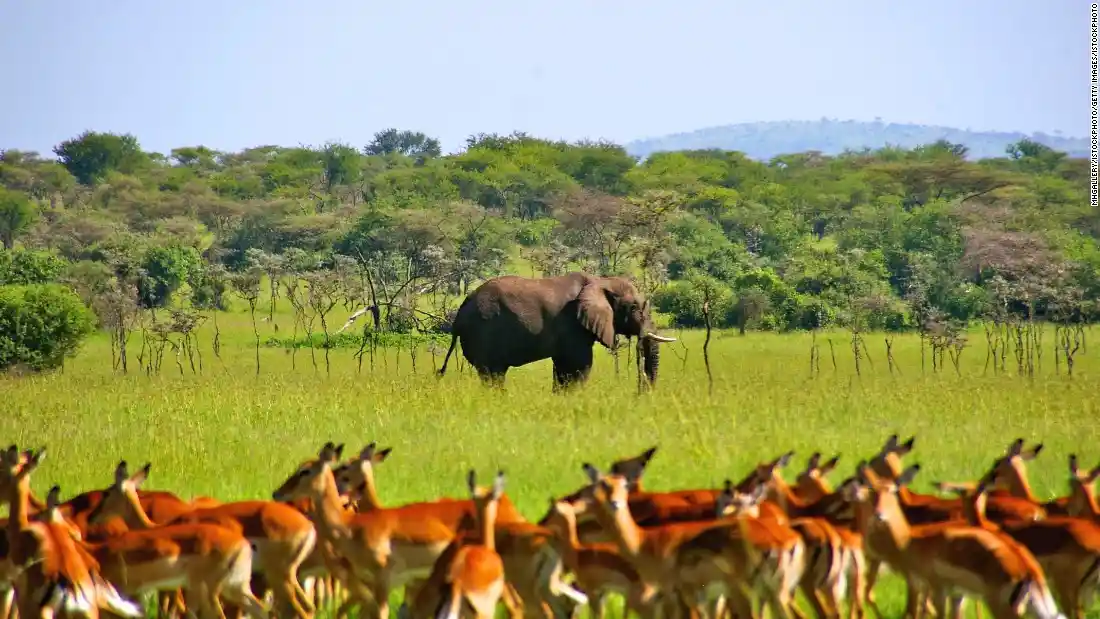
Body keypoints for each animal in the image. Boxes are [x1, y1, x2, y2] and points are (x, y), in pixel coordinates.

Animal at [437, 272, 676, 390]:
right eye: (634, 308)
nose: (643, 391)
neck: (600, 281)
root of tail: (461, 310)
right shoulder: (572, 325)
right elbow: (579, 365)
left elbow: (563, 367)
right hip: (483, 331)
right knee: (492, 373)